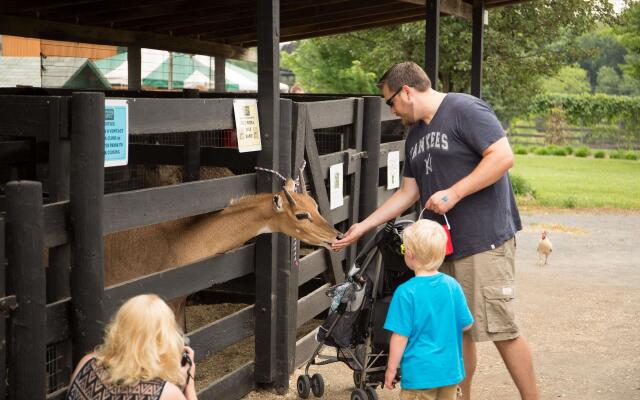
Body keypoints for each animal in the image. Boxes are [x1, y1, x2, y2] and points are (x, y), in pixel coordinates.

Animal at [101, 169, 340, 328]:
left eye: (314, 204)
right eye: (301, 214)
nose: (336, 236)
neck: (186, 239)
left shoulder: (180, 301)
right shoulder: (167, 300)